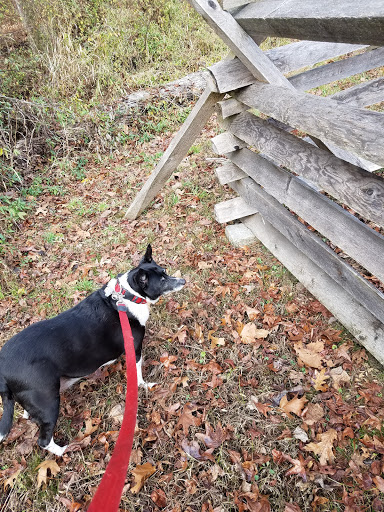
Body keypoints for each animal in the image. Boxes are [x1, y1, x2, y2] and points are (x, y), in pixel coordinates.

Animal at [0, 245, 184, 456]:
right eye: (162, 280)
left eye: (165, 272)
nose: (183, 281)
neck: (127, 296)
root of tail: (3, 369)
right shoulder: (135, 348)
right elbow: (138, 373)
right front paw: (144, 385)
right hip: (48, 401)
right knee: (43, 440)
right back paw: (65, 451)